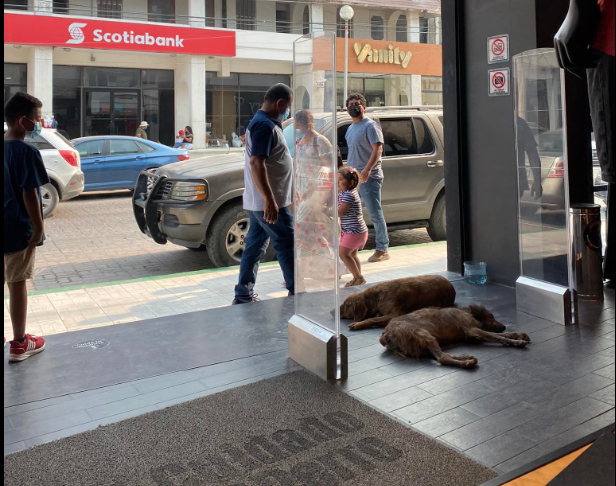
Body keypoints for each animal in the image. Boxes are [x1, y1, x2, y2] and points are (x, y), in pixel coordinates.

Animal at [380, 304, 528, 368]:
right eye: (491, 316)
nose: (504, 326)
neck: (466, 311)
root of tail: (385, 334)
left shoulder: (474, 332)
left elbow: (497, 334)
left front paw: (518, 334)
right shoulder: (473, 330)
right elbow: (498, 336)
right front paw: (516, 341)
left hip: (424, 344)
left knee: (442, 355)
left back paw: (466, 358)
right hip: (426, 336)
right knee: (442, 358)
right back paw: (466, 363)